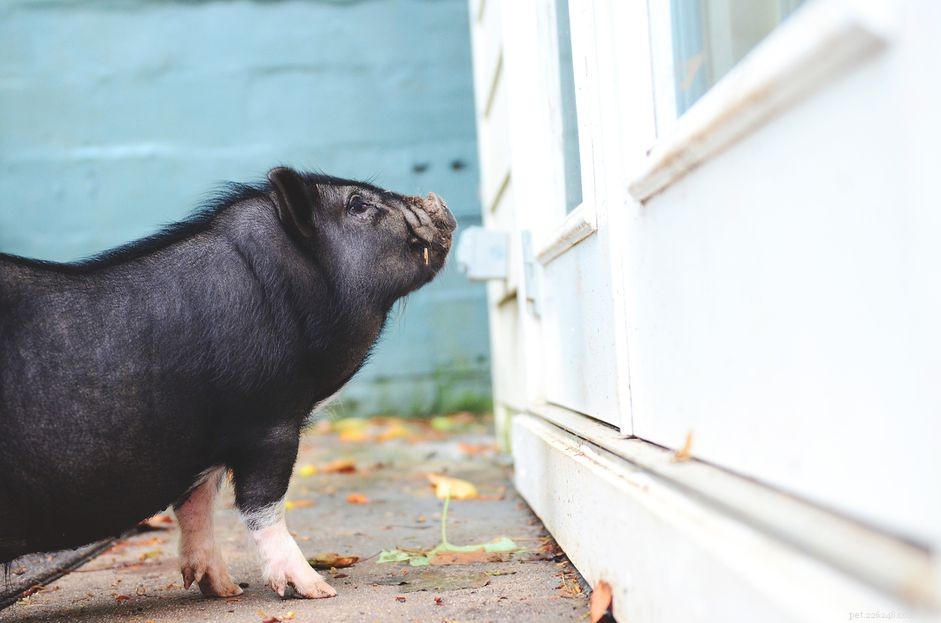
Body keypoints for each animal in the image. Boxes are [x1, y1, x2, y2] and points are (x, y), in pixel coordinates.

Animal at [0, 166, 456, 599]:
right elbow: (261, 503)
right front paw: (317, 590)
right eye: (358, 205)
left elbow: (196, 502)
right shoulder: (269, 420)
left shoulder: (205, 442)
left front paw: (224, 589)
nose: (438, 201)